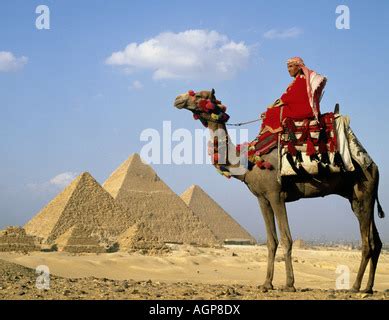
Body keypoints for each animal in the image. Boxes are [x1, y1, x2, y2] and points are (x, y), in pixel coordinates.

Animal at [174, 89, 384, 294]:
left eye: (199, 95)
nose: (178, 99)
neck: (248, 162)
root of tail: (374, 166)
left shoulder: (276, 195)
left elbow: (286, 238)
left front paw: (289, 284)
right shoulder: (262, 198)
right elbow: (271, 241)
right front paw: (267, 283)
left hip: (364, 192)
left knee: (367, 243)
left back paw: (355, 287)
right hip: (356, 199)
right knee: (376, 241)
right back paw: (368, 287)